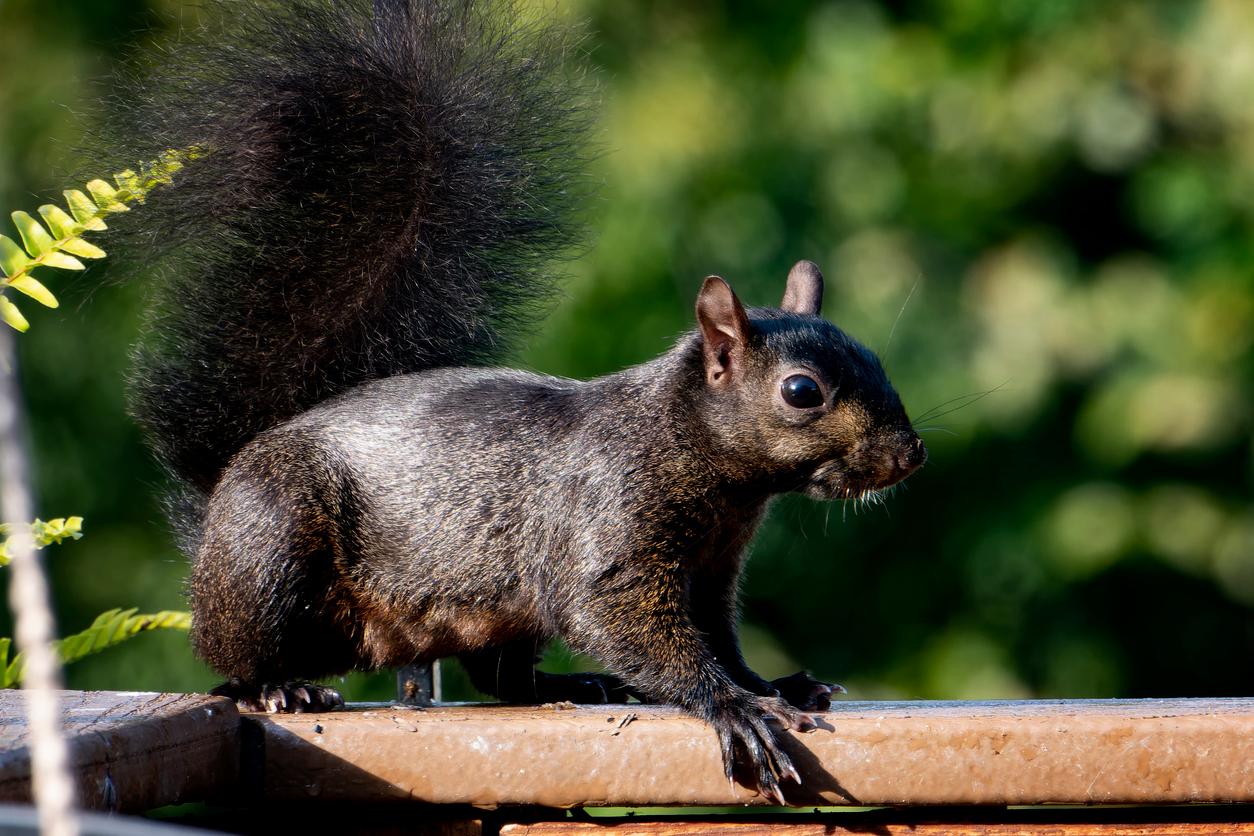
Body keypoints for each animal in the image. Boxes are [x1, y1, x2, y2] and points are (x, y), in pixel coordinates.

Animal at [102, 0, 927, 802]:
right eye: (801, 391)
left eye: (875, 359)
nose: (909, 455)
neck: (699, 460)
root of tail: (220, 492)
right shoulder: (611, 527)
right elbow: (630, 624)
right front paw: (734, 707)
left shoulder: (712, 568)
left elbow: (719, 637)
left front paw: (772, 683)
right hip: (270, 543)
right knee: (236, 659)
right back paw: (281, 688)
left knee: (501, 679)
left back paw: (577, 684)